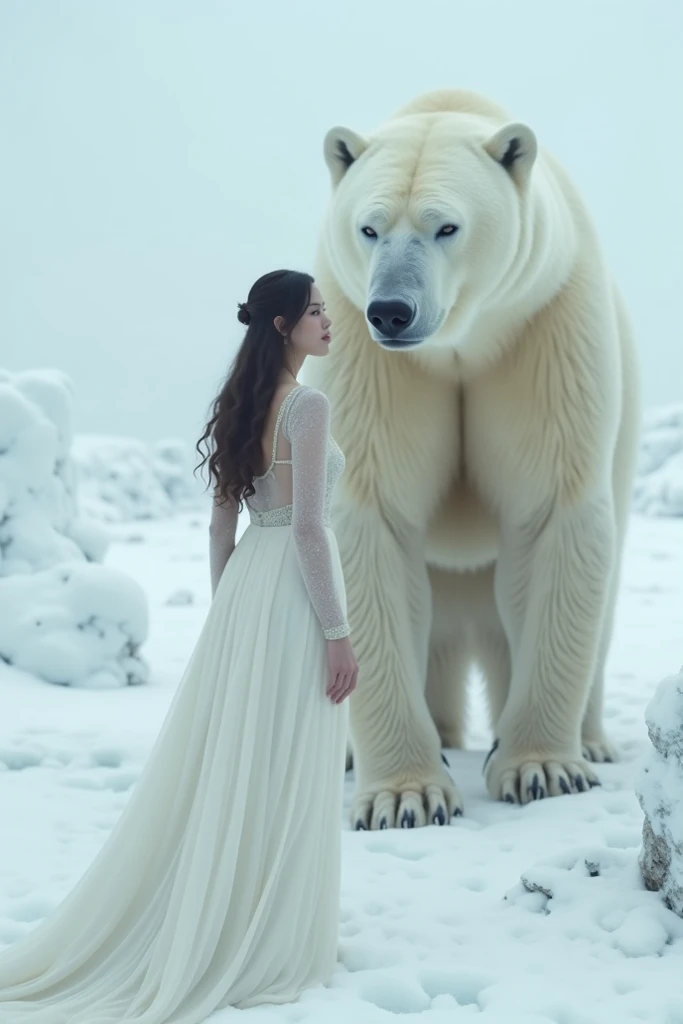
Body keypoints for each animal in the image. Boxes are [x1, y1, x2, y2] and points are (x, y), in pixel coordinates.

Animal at [305, 90, 643, 831]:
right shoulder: (368, 358)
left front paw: (541, 769)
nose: (391, 311)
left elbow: (550, 514)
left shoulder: (541, 330)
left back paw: (591, 741)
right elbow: (371, 523)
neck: (460, 342)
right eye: (369, 227)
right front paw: (406, 795)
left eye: (446, 227)